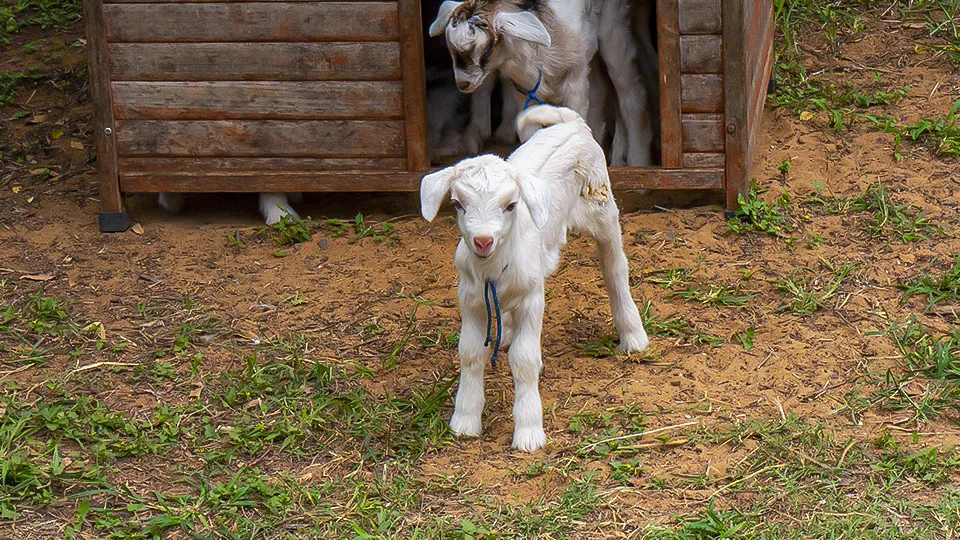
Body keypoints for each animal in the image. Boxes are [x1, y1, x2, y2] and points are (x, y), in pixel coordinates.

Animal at [420, 105, 650, 451]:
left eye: (511, 205)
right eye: (458, 204)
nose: (483, 241)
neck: (494, 269)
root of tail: (572, 123)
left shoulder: (532, 298)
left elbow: (525, 360)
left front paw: (528, 431)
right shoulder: (470, 298)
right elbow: (470, 352)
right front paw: (465, 420)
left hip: (602, 205)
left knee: (614, 268)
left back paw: (633, 335)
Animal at [428, 0, 653, 166]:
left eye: (488, 49)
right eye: (450, 49)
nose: (463, 83)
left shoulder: (575, 81)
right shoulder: (525, 92)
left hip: (613, 30)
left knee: (630, 92)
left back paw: (637, 162)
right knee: (601, 92)